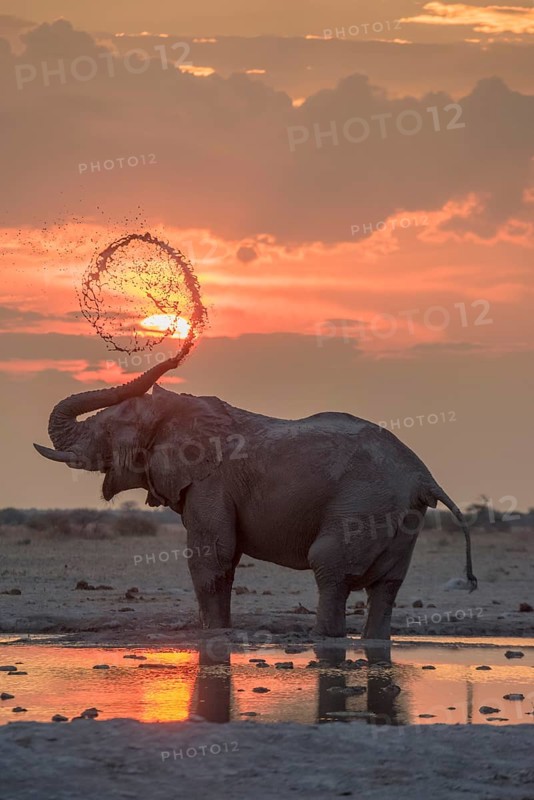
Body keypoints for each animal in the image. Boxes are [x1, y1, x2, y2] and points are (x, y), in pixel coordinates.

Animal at [34, 356, 476, 639]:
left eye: (109, 430)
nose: (176, 352)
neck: (179, 409)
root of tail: (423, 476)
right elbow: (225, 560)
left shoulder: (210, 481)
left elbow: (209, 557)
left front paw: (212, 635)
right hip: (401, 518)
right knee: (386, 587)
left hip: (363, 505)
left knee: (330, 569)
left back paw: (323, 640)